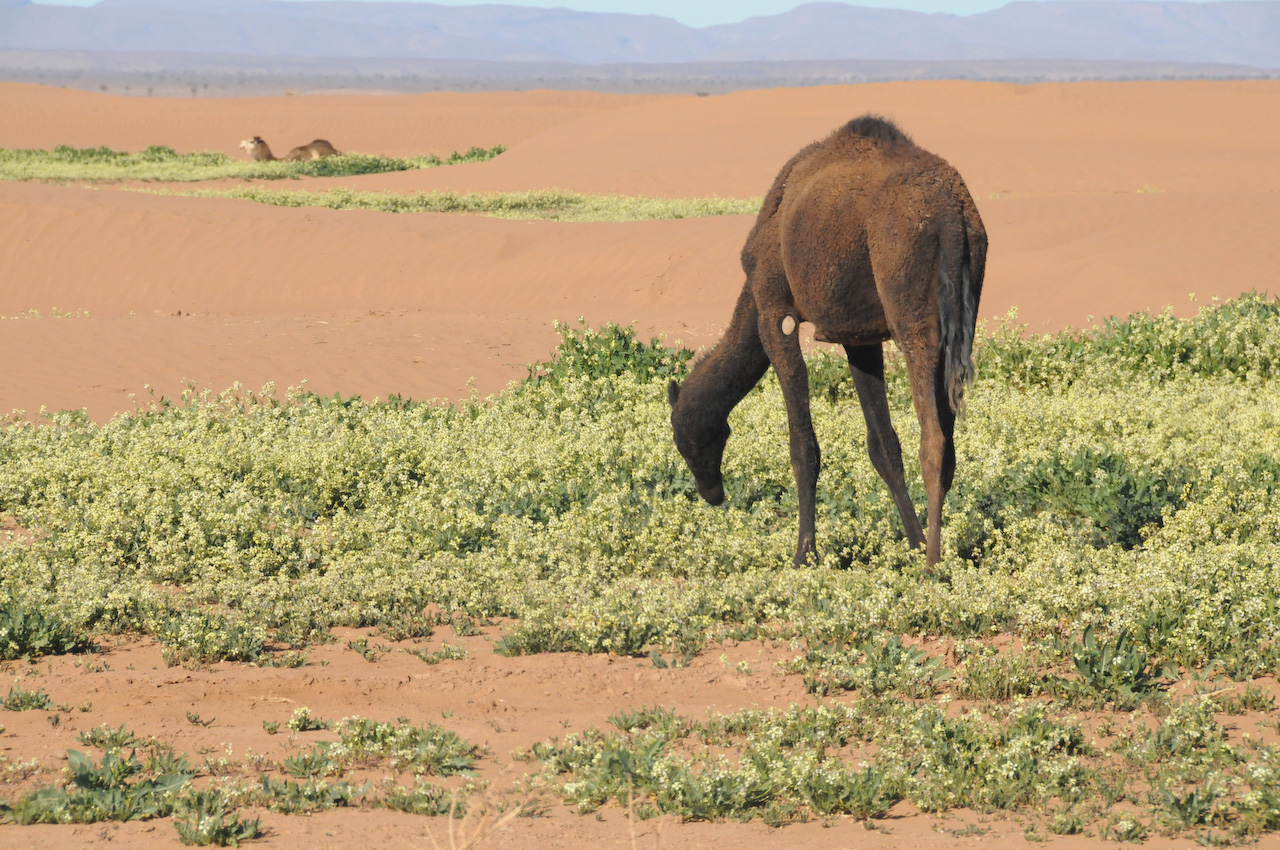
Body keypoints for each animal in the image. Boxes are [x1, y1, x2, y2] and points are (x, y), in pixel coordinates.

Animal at [668, 115, 987, 569]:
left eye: (685, 439)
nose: (711, 492)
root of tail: (949, 212)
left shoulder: (773, 310)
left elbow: (803, 447)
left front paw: (804, 554)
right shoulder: (859, 336)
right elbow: (883, 446)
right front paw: (911, 543)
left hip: (908, 297)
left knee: (934, 439)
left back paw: (933, 567)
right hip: (966, 297)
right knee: (947, 436)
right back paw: (930, 554)